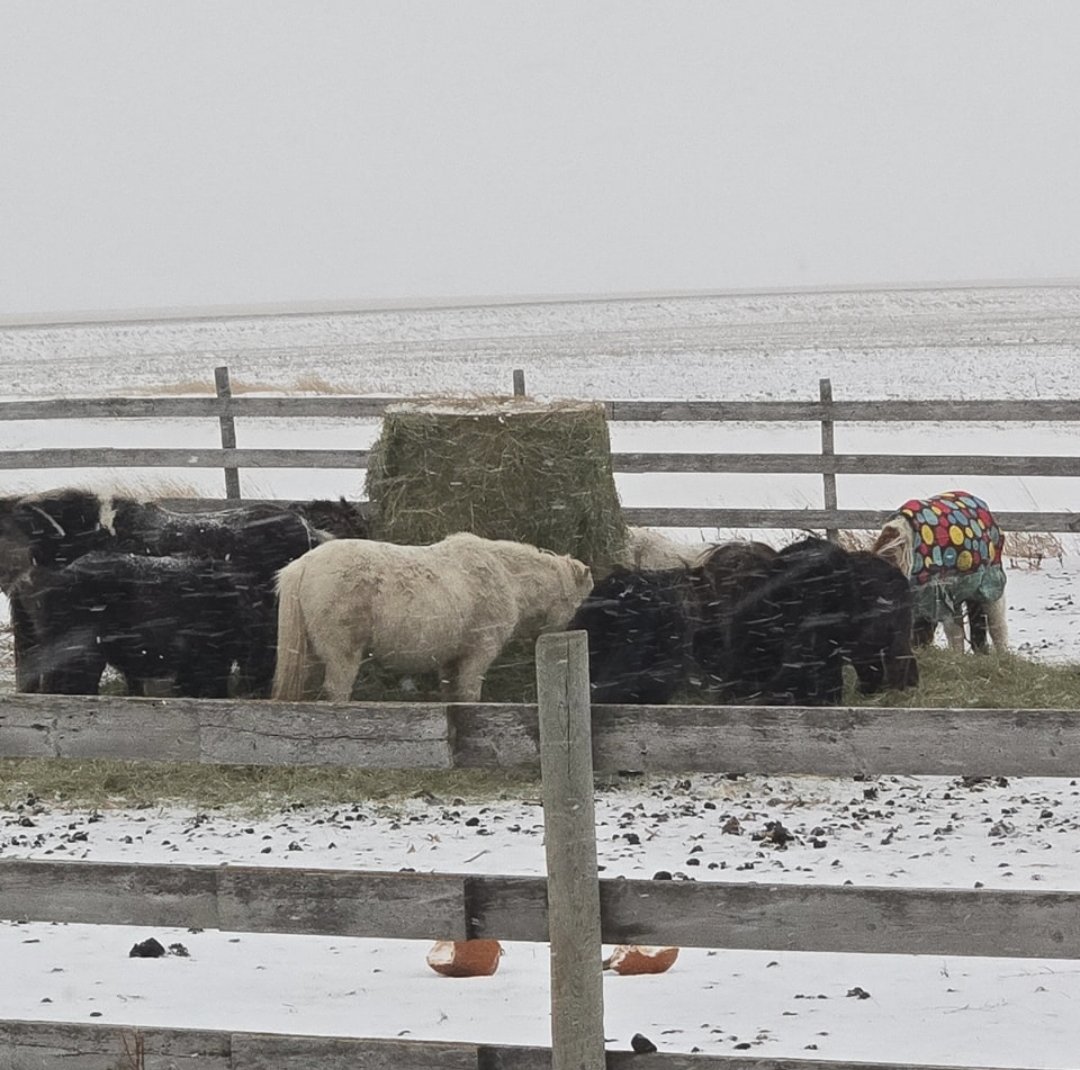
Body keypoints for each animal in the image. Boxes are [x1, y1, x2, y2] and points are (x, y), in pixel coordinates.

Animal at [272, 532, 593, 703]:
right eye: (575, 603)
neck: (506, 576)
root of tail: (303, 565)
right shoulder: (478, 654)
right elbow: (469, 694)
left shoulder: (450, 660)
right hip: (341, 654)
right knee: (337, 692)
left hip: (310, 655)